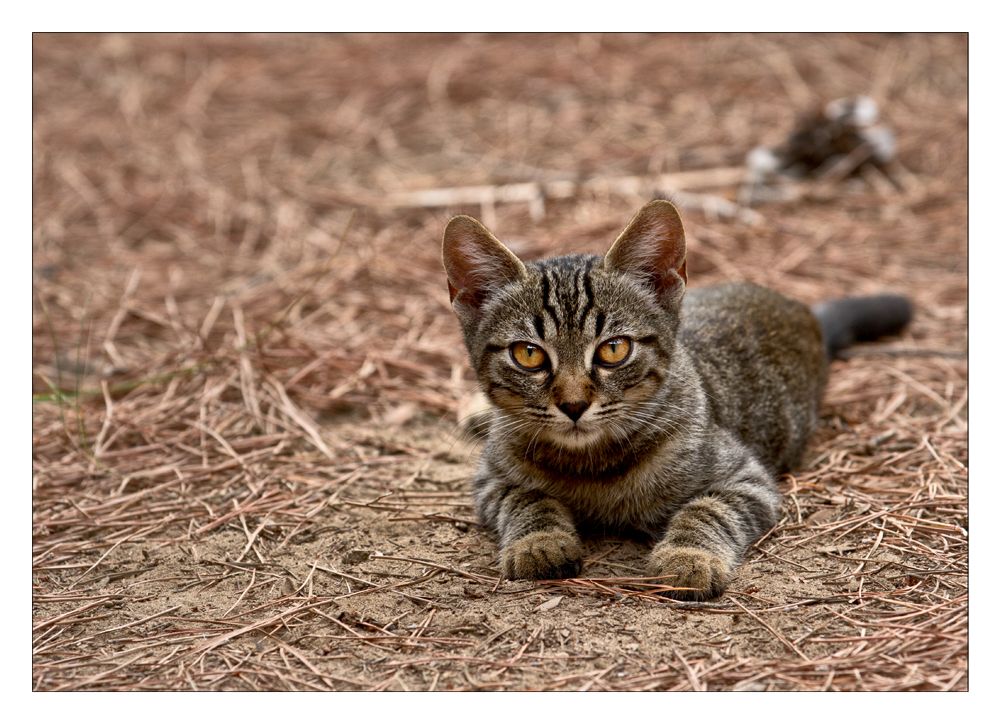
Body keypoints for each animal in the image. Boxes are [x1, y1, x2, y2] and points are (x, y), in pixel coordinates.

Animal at [442, 199, 912, 600]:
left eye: (614, 349)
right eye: (528, 355)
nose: (574, 405)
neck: (592, 466)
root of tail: (803, 311)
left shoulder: (748, 478)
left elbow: (706, 509)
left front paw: (689, 556)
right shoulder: (490, 478)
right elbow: (526, 498)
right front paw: (540, 541)